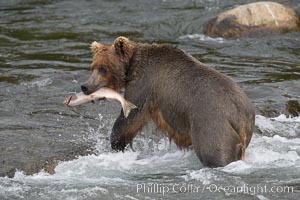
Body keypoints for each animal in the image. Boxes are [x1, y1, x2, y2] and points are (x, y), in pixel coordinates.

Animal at [81, 36, 254, 167]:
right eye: (93, 66)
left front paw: (116, 143)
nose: (85, 86)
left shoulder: (144, 85)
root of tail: (240, 117)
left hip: (212, 124)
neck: (131, 68)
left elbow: (130, 118)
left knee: (213, 152)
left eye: (103, 68)